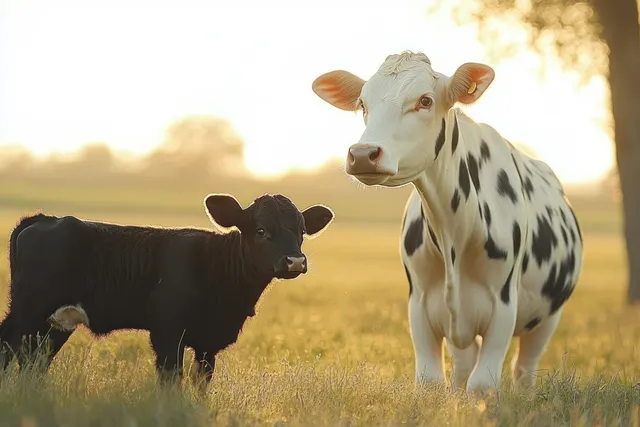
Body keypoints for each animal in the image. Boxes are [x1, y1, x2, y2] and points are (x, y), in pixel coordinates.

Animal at [0, 192, 334, 390]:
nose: (295, 261)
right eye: (262, 230)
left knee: (34, 360)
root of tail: (45, 218)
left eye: (301, 232)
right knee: (9, 346)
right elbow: (171, 380)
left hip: (56, 322)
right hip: (28, 310)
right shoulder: (167, 332)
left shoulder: (208, 343)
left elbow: (201, 384)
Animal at [311, 51, 583, 393]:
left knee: (524, 369)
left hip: (547, 318)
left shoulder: (504, 306)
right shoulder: (420, 304)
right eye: (362, 103)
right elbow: (430, 381)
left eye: (425, 100)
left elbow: (482, 385)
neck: (454, 230)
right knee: (464, 366)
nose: (362, 153)